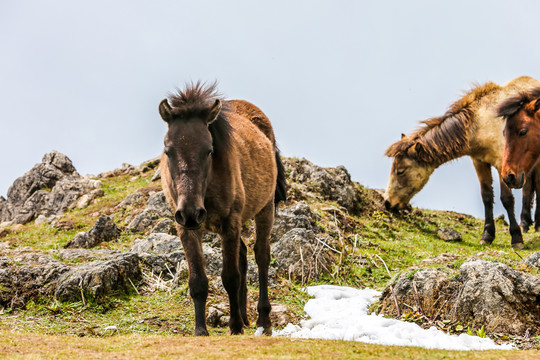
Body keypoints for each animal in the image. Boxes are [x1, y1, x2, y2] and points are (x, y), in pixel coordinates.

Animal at [158, 83, 286, 336]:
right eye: (168, 150)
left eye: (208, 150)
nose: (191, 212)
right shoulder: (186, 228)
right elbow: (198, 281)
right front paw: (201, 331)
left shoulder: (230, 223)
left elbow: (230, 277)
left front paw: (234, 327)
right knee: (243, 255)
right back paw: (246, 317)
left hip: (265, 209)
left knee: (261, 256)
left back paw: (262, 321)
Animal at [384, 76, 540, 248]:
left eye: (400, 171)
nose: (387, 202)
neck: (482, 124)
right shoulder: (479, 162)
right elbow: (486, 197)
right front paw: (487, 235)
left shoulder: (503, 165)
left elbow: (506, 199)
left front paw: (516, 238)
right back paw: (526, 223)